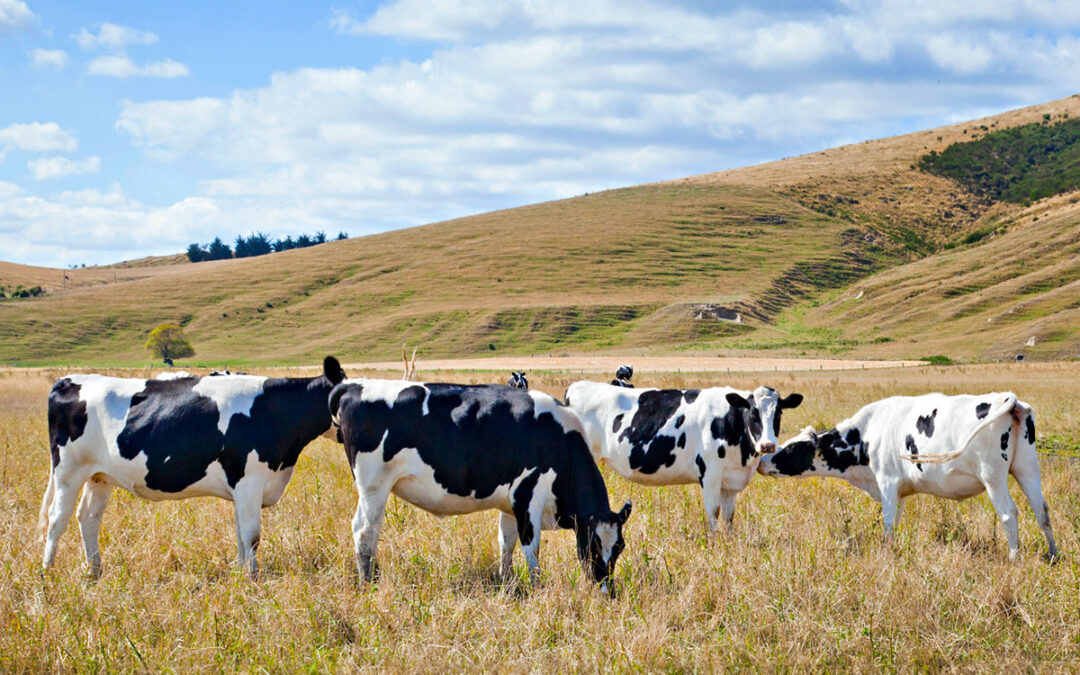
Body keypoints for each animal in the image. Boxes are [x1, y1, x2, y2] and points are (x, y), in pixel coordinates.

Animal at [39, 356, 345, 574]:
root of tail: (68, 380)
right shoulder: (249, 480)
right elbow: (252, 535)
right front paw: (254, 578)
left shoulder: (242, 487)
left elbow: (241, 536)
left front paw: (242, 574)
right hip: (68, 472)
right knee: (57, 518)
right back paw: (48, 570)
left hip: (99, 476)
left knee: (88, 517)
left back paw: (95, 570)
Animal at [328, 362, 630, 587]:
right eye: (592, 545)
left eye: (619, 547)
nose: (606, 591)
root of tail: (352, 386)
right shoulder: (528, 495)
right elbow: (531, 548)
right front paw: (537, 588)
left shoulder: (510, 503)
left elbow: (506, 543)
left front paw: (508, 583)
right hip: (374, 486)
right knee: (365, 531)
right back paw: (368, 583)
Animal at [565, 380, 803, 531]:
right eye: (753, 413)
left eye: (779, 413)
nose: (768, 445)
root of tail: (579, 385)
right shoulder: (710, 475)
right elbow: (713, 514)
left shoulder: (730, 481)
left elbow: (729, 519)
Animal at [760, 388, 1054, 557]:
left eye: (792, 448)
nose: (763, 459)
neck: (867, 434)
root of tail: (1006, 398)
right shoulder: (899, 491)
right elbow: (896, 522)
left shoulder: (887, 482)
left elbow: (888, 524)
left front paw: (887, 554)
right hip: (1027, 468)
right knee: (1042, 511)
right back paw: (1053, 554)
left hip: (993, 476)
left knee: (1008, 514)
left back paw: (1014, 557)